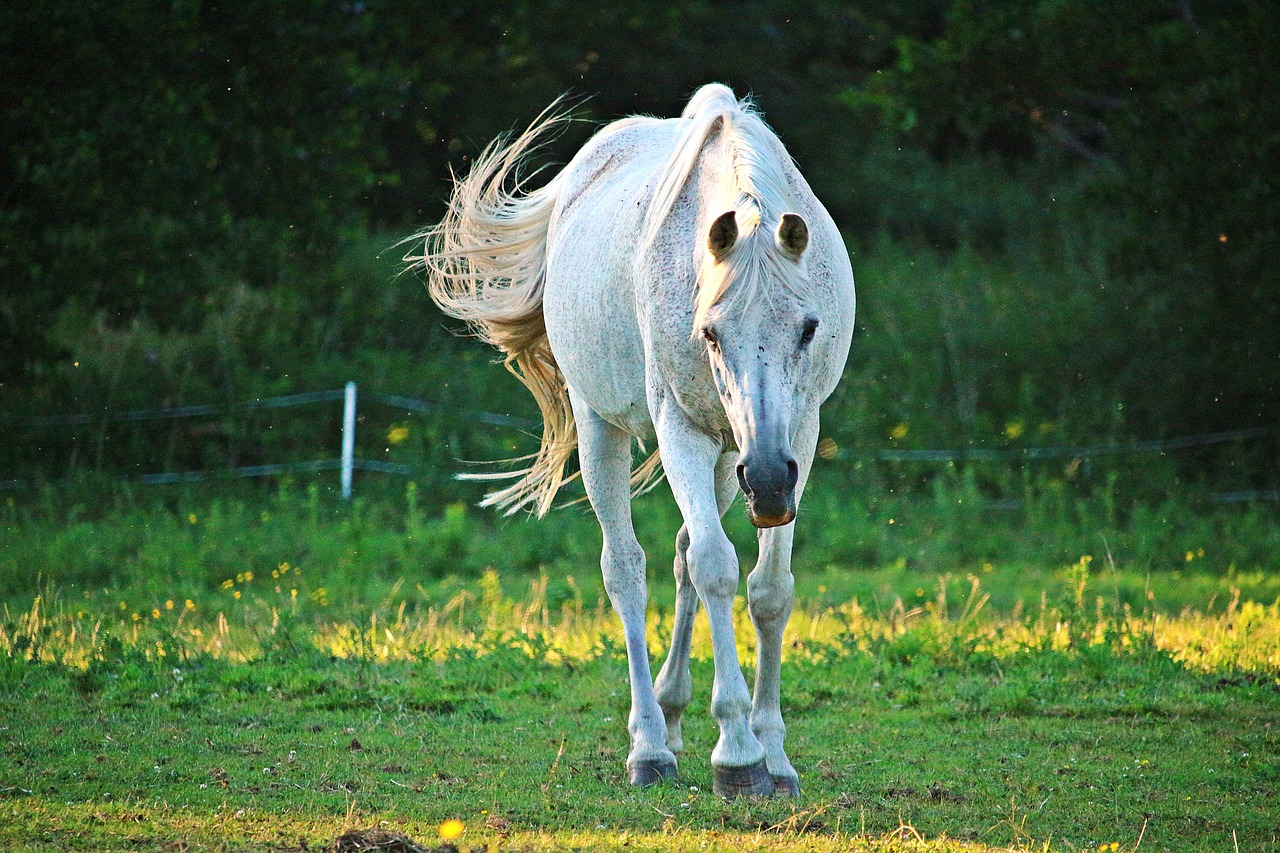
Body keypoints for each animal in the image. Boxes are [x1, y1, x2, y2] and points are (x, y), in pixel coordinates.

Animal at [409, 83, 855, 794]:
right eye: (710, 332)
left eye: (809, 328)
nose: (766, 483)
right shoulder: (681, 430)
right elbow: (716, 567)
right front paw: (738, 754)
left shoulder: (799, 435)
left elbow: (768, 589)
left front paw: (775, 755)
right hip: (608, 430)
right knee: (628, 570)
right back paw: (650, 747)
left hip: (729, 453)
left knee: (681, 554)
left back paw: (672, 715)